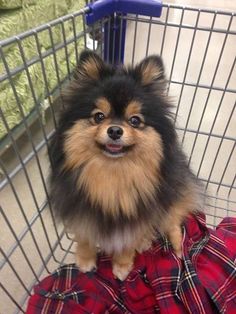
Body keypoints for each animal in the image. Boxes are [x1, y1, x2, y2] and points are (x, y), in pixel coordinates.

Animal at [48, 50, 204, 280]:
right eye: (99, 116)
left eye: (135, 121)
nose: (114, 130)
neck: (113, 172)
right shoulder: (80, 208)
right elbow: (84, 236)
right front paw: (85, 260)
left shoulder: (135, 217)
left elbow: (127, 242)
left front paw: (121, 266)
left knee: (173, 221)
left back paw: (176, 248)